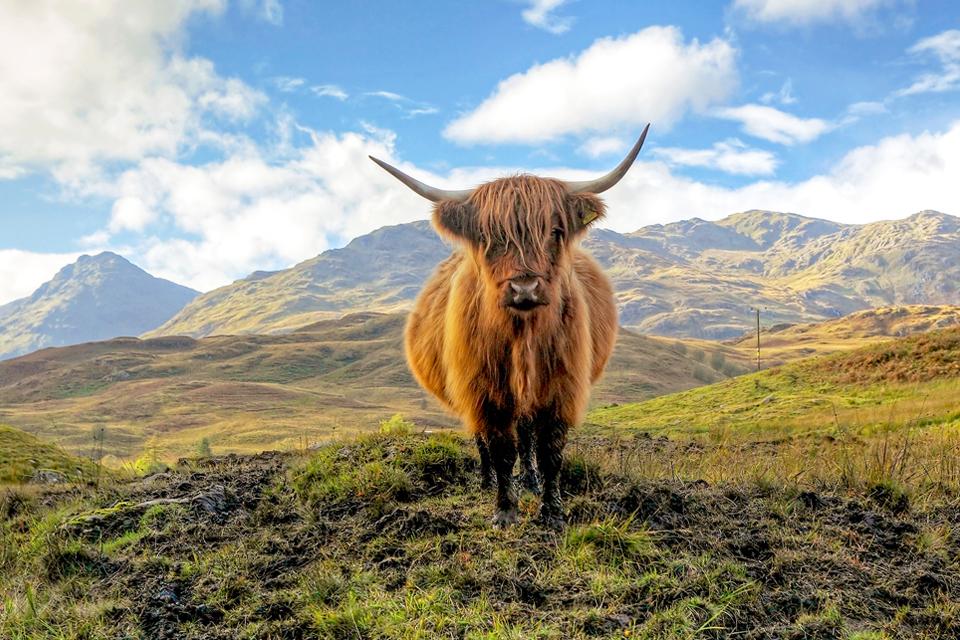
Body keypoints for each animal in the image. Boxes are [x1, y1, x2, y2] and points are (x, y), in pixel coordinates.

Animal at [370, 125, 648, 528]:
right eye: (489, 236)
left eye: (555, 231)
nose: (525, 287)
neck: (523, 336)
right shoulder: (483, 389)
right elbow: (500, 449)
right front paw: (504, 510)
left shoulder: (560, 387)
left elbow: (549, 451)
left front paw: (552, 512)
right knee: (484, 440)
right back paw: (487, 481)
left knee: (526, 435)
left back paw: (530, 481)